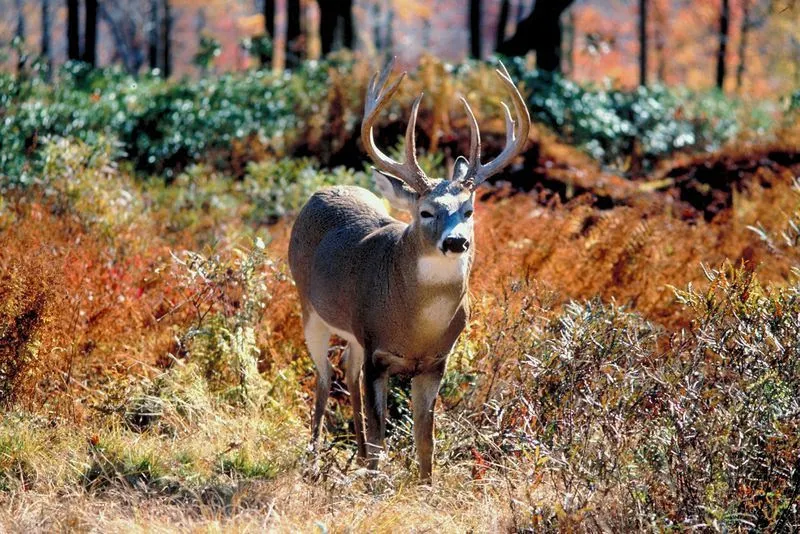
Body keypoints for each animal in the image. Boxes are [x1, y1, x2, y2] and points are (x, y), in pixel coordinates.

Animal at [288, 59, 530, 482]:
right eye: (426, 212)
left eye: (469, 211)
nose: (456, 242)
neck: (418, 326)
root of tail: (323, 190)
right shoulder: (378, 352)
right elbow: (381, 437)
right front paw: (375, 484)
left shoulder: (434, 363)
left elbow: (424, 440)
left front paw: (426, 486)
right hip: (309, 307)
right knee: (324, 377)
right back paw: (315, 460)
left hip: (353, 334)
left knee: (347, 374)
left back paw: (352, 455)